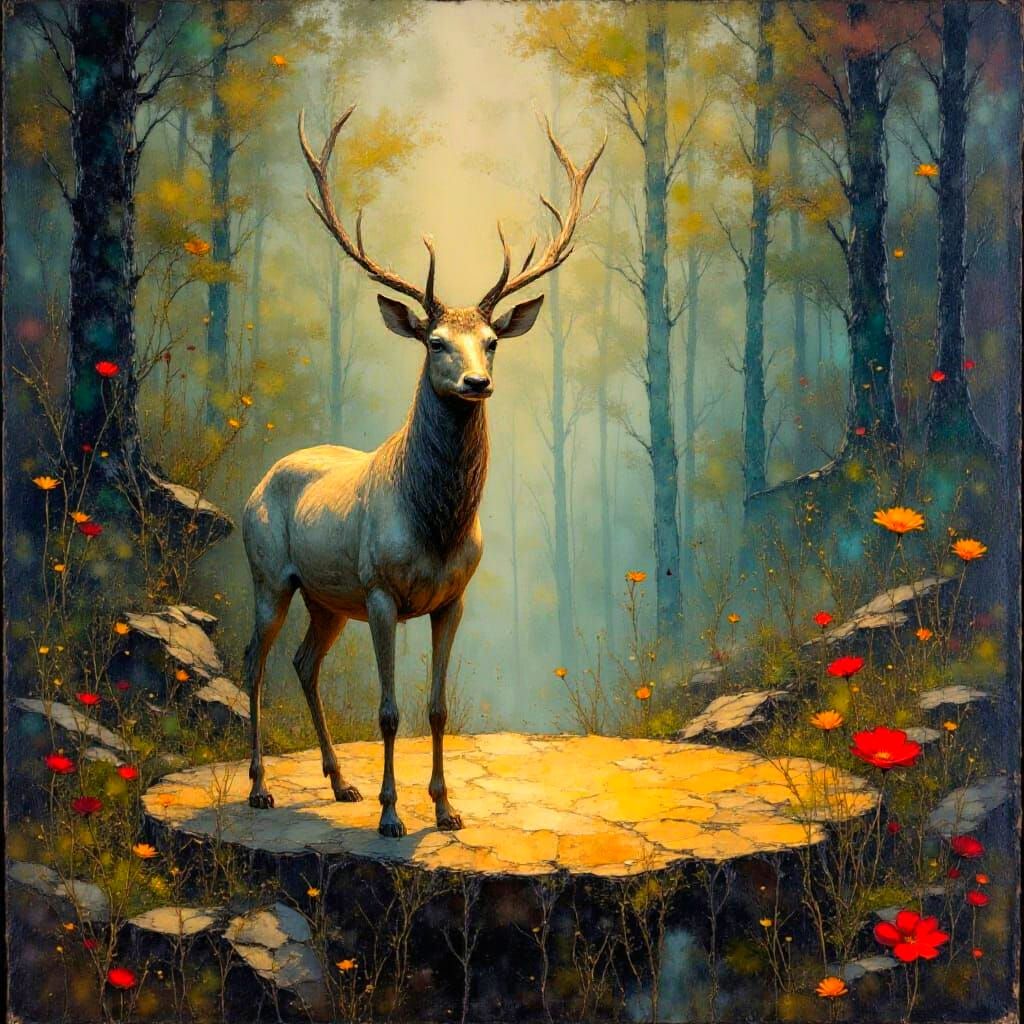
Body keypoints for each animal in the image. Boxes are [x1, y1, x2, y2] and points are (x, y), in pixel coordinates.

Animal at [241, 105, 603, 837]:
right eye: (435, 341)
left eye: (490, 341)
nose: (477, 382)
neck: (436, 527)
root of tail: (261, 481)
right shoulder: (381, 590)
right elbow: (388, 710)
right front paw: (392, 815)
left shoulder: (453, 597)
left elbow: (436, 707)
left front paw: (445, 808)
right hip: (270, 572)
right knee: (254, 664)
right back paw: (261, 788)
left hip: (328, 598)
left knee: (303, 663)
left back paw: (340, 782)